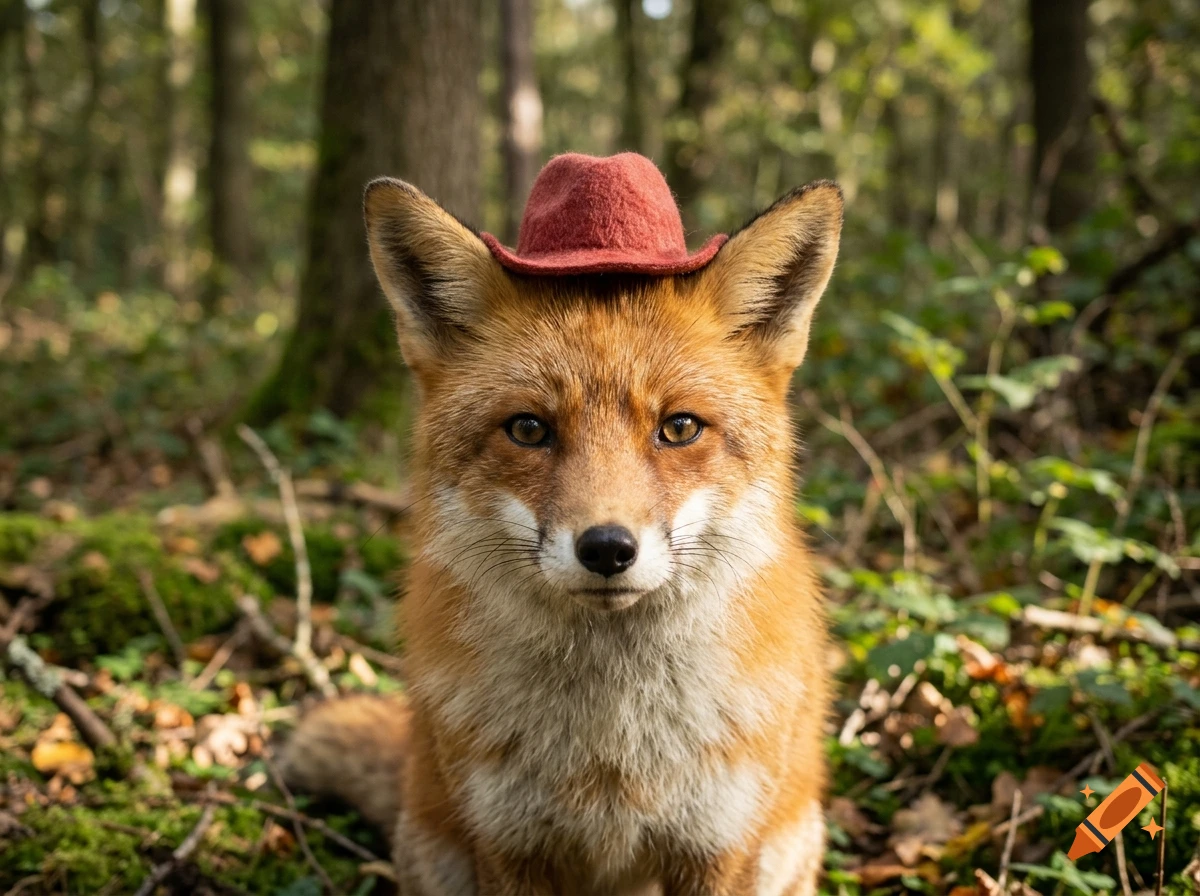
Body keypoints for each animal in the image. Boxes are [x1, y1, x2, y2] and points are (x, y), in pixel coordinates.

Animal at [281, 163, 844, 895]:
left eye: (679, 427)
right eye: (528, 429)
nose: (607, 548)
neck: (612, 751)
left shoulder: (718, 844)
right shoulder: (509, 844)